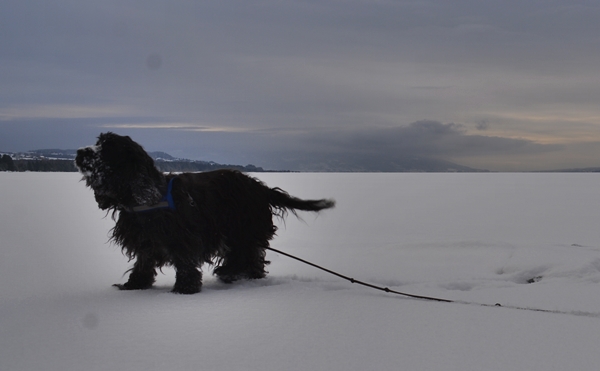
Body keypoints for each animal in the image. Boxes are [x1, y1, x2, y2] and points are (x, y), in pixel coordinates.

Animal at [75, 132, 336, 294]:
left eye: (108, 148)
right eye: (98, 142)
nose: (79, 152)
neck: (147, 198)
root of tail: (260, 188)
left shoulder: (184, 238)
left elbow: (185, 264)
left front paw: (184, 289)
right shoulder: (146, 242)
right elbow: (143, 263)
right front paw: (134, 285)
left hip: (241, 229)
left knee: (247, 255)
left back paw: (232, 273)